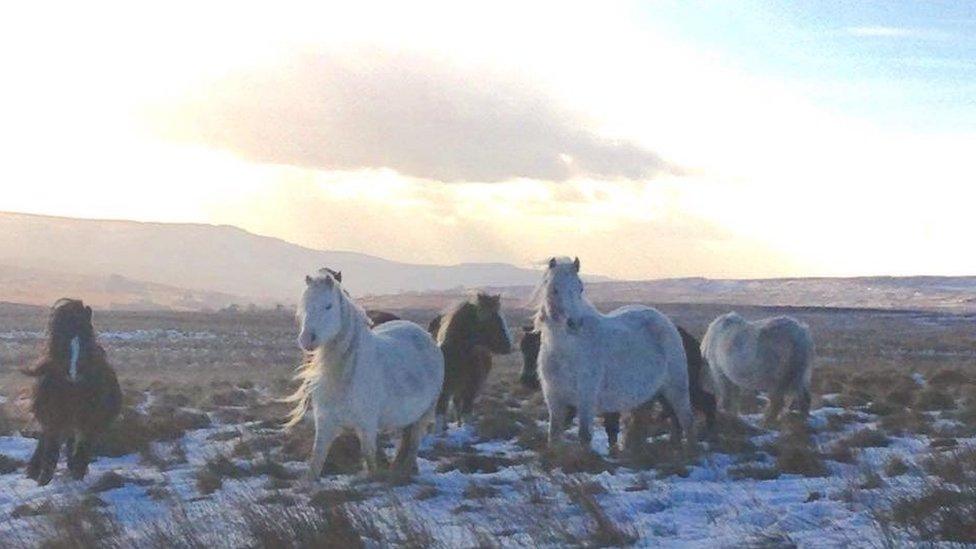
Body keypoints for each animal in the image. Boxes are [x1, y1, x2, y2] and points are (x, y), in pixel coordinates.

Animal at [22, 300, 121, 484]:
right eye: (61, 340)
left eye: (86, 340)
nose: (74, 374)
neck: (73, 391)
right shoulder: (54, 420)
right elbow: (51, 451)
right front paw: (43, 481)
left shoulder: (89, 422)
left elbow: (81, 451)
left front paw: (77, 475)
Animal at [288, 270, 444, 480]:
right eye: (304, 306)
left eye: (328, 306)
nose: (307, 339)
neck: (346, 375)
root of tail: (426, 336)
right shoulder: (325, 423)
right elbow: (315, 463)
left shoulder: (367, 426)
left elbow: (370, 460)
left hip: (423, 414)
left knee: (412, 445)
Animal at [430, 294, 516, 430]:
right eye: (494, 320)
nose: (509, 346)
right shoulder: (444, 389)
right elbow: (440, 413)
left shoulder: (471, 389)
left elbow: (466, 413)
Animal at [520, 324, 716, 452]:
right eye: (523, 349)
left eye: (535, 348)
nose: (526, 380)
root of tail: (693, 342)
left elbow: (610, 427)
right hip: (664, 393)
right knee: (676, 416)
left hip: (682, 387)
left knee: (704, 403)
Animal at [532, 256, 692, 450]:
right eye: (554, 289)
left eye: (580, 288)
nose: (575, 323)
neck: (566, 353)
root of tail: (666, 321)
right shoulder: (554, 400)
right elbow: (554, 435)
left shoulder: (586, 399)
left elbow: (584, 436)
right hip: (653, 395)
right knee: (670, 424)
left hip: (676, 389)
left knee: (686, 421)